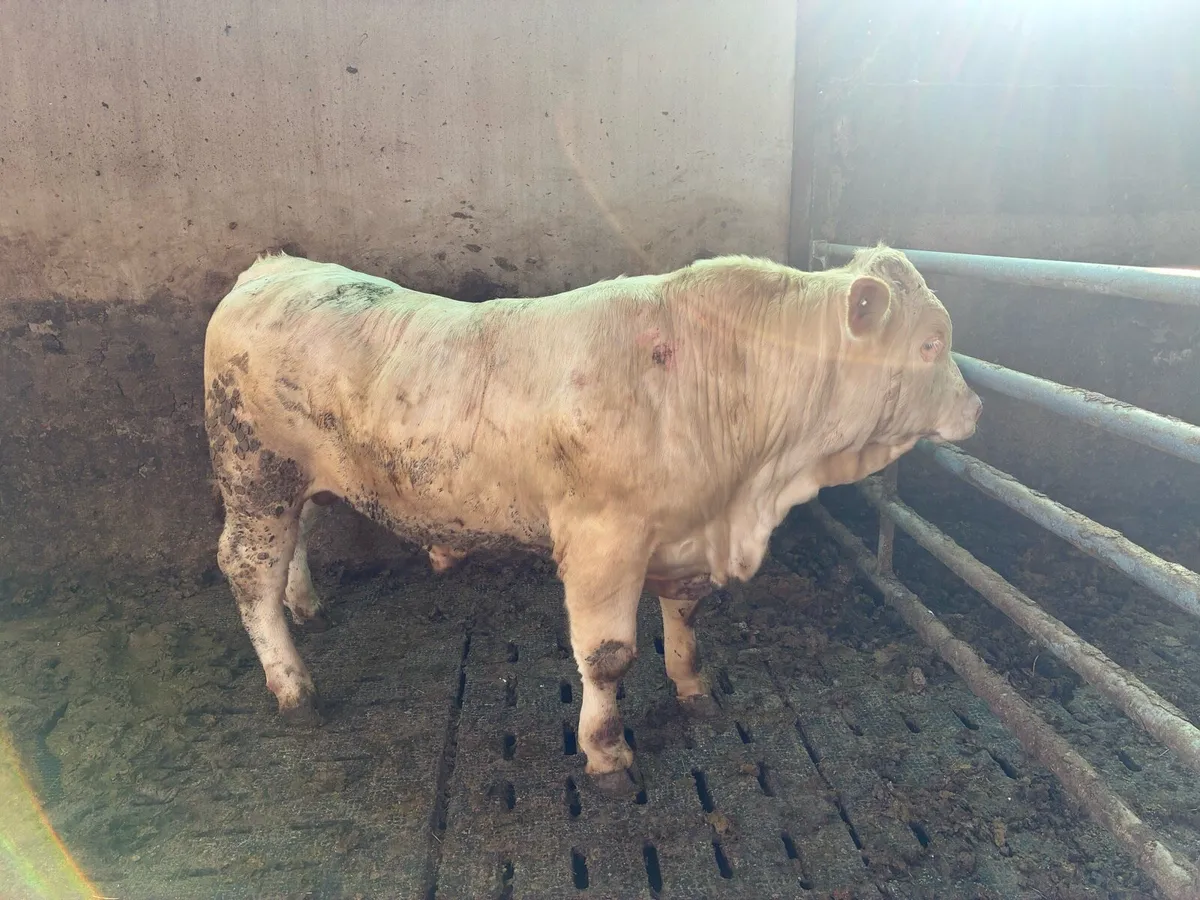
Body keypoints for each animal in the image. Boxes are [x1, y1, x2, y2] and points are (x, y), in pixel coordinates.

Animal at [203, 244, 981, 795]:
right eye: (931, 344)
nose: (976, 408)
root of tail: (274, 267)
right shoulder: (604, 539)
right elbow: (607, 656)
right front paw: (607, 754)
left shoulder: (685, 531)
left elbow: (686, 615)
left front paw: (693, 689)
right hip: (253, 472)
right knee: (248, 569)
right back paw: (293, 685)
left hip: (295, 482)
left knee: (294, 545)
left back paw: (306, 605)